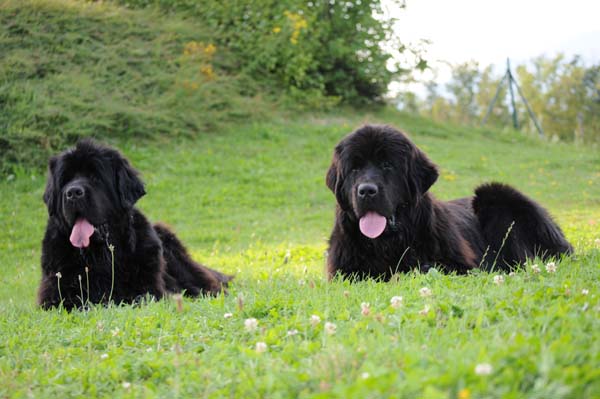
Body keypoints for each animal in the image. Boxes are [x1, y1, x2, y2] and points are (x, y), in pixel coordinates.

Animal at [37, 139, 230, 310]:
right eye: (65, 180)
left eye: (95, 177)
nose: (73, 193)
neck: (100, 255)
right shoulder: (53, 294)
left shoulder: (152, 289)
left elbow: (139, 296)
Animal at [326, 126, 576, 282]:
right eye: (355, 168)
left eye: (387, 165)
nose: (366, 191)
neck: (387, 243)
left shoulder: (461, 266)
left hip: (494, 196)